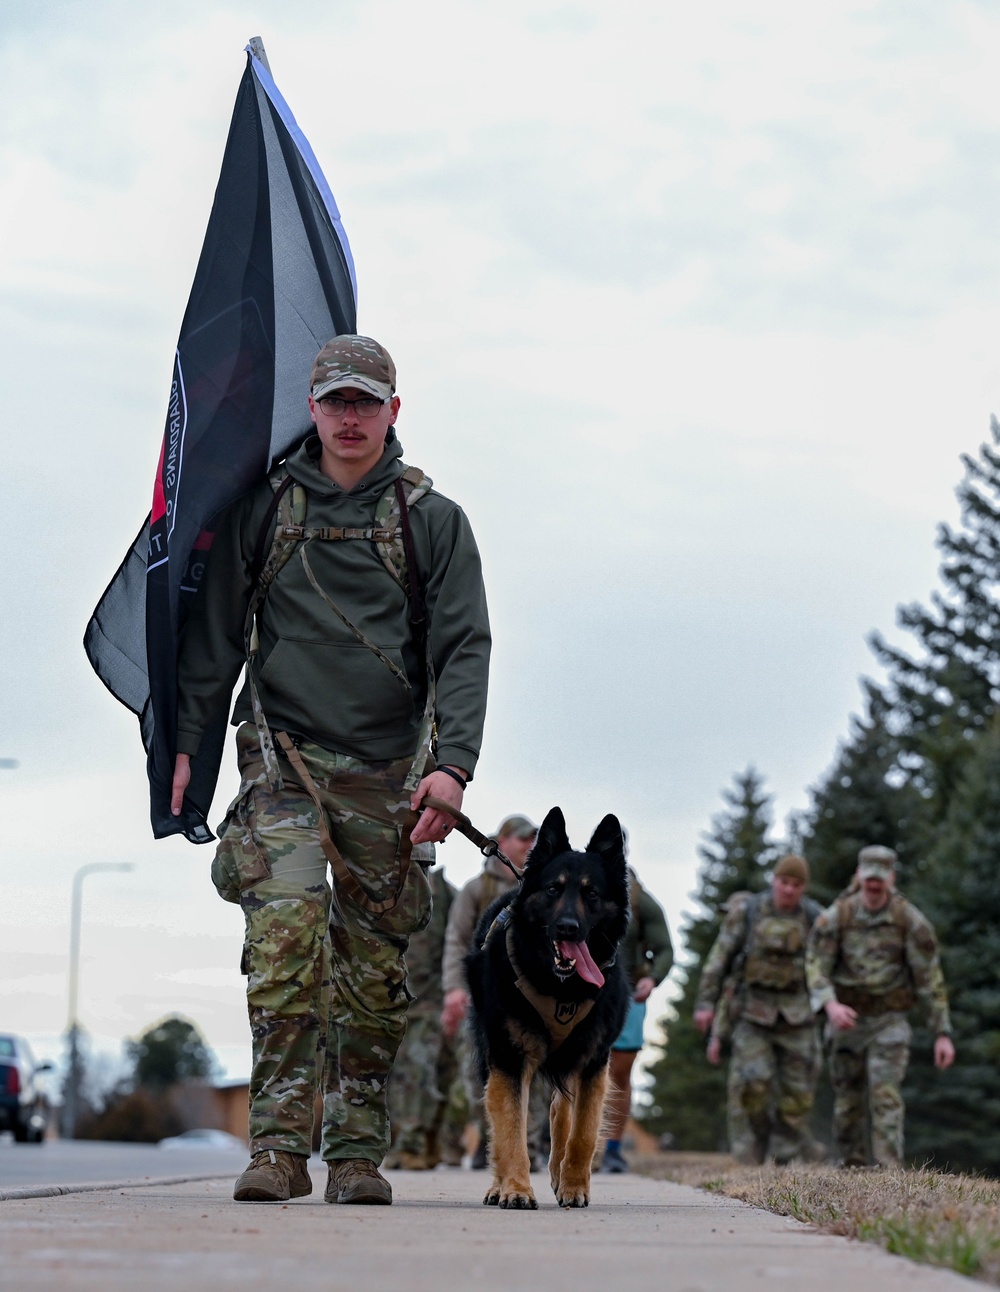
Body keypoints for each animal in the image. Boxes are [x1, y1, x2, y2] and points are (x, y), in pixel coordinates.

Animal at [467, 806, 625, 1209]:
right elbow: (510, 1130)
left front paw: (574, 1186)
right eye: (553, 889)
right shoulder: (508, 1059)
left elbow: (582, 1131)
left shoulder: (593, 1061)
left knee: (560, 1111)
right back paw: (499, 1186)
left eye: (591, 893)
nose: (568, 928)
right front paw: (517, 1189)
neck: (559, 986)